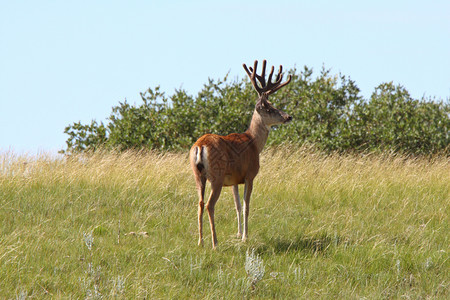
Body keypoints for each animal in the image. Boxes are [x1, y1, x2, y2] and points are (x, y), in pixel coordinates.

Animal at [189, 59, 292, 248]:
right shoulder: (249, 175)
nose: (288, 117)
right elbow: (246, 206)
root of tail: (200, 145)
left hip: (197, 174)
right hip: (217, 175)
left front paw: (237, 234)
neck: (254, 142)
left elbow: (237, 205)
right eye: (270, 108)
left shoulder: (234, 180)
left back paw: (200, 241)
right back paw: (215, 243)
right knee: (209, 205)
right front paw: (245, 236)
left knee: (199, 203)